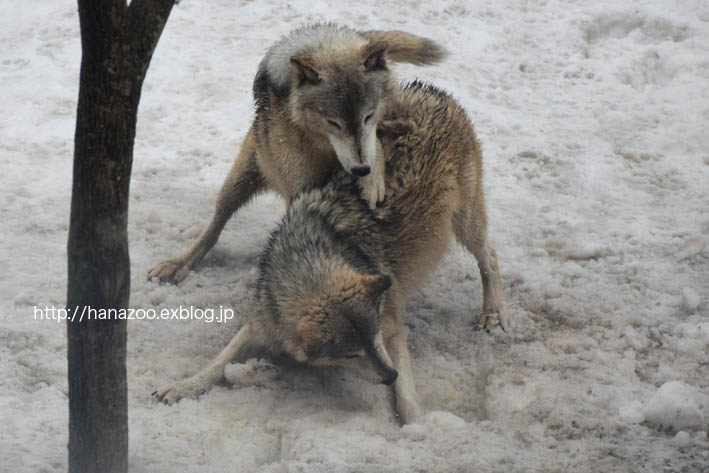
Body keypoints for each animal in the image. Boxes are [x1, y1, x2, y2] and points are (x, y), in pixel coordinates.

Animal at [149, 23, 446, 284]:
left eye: (368, 116)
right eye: (334, 123)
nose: (361, 170)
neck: (324, 146)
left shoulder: (373, 132)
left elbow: (377, 144)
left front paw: (372, 182)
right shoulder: (301, 189)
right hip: (238, 180)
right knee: (215, 225)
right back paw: (179, 264)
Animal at [152, 80, 504, 424]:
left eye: (373, 339)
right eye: (350, 353)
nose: (388, 375)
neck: (315, 258)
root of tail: (433, 91)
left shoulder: (390, 329)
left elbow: (406, 395)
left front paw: (417, 423)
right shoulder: (261, 323)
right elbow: (217, 362)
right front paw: (183, 386)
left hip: (465, 223)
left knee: (490, 258)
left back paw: (492, 313)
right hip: (238, 182)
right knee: (214, 225)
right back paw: (178, 264)